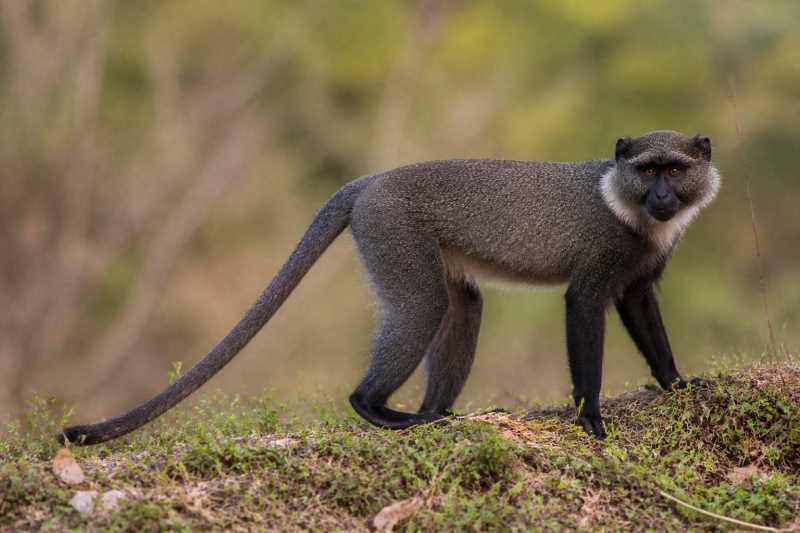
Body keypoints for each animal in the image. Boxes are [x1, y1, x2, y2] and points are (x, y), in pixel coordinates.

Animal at [59, 130, 720, 445]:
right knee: (423, 307)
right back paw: (379, 409)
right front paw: (590, 419)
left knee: (463, 305)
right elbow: (583, 305)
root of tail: (370, 183)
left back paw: (436, 413)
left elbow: (638, 304)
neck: (626, 204)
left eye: (675, 169)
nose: (663, 196)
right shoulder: (597, 259)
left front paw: (675, 382)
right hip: (390, 230)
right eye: (647, 171)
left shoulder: (643, 267)